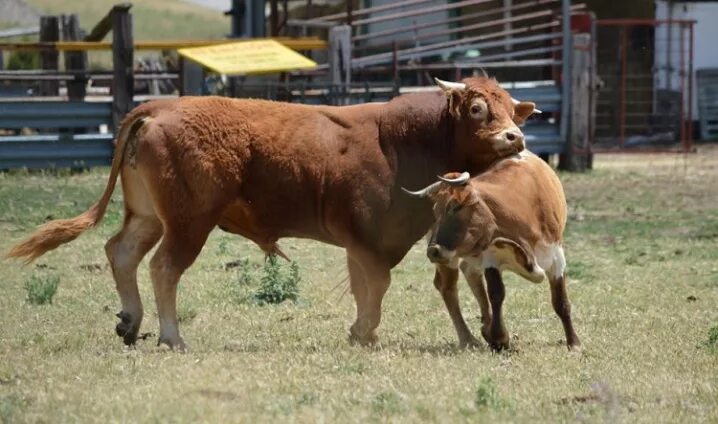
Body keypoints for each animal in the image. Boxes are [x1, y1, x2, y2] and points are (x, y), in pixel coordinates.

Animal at [4, 76, 536, 352]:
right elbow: (376, 286)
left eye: (511, 110)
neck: (399, 140)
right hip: (187, 224)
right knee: (163, 267)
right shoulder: (366, 238)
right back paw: (172, 337)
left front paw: (362, 332)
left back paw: (131, 324)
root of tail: (160, 107)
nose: (515, 138)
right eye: (476, 108)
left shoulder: (367, 243)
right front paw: (362, 331)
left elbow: (368, 287)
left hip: (149, 217)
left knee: (122, 253)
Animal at [404, 151, 584, 352]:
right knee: (448, 286)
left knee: (469, 272)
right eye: (436, 211)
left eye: (455, 207)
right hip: (450, 259)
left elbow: (561, 302)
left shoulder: (556, 257)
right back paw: (469, 338)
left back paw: (485, 328)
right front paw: (500, 339)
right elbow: (496, 294)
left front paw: (574, 343)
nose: (433, 251)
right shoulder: (492, 256)